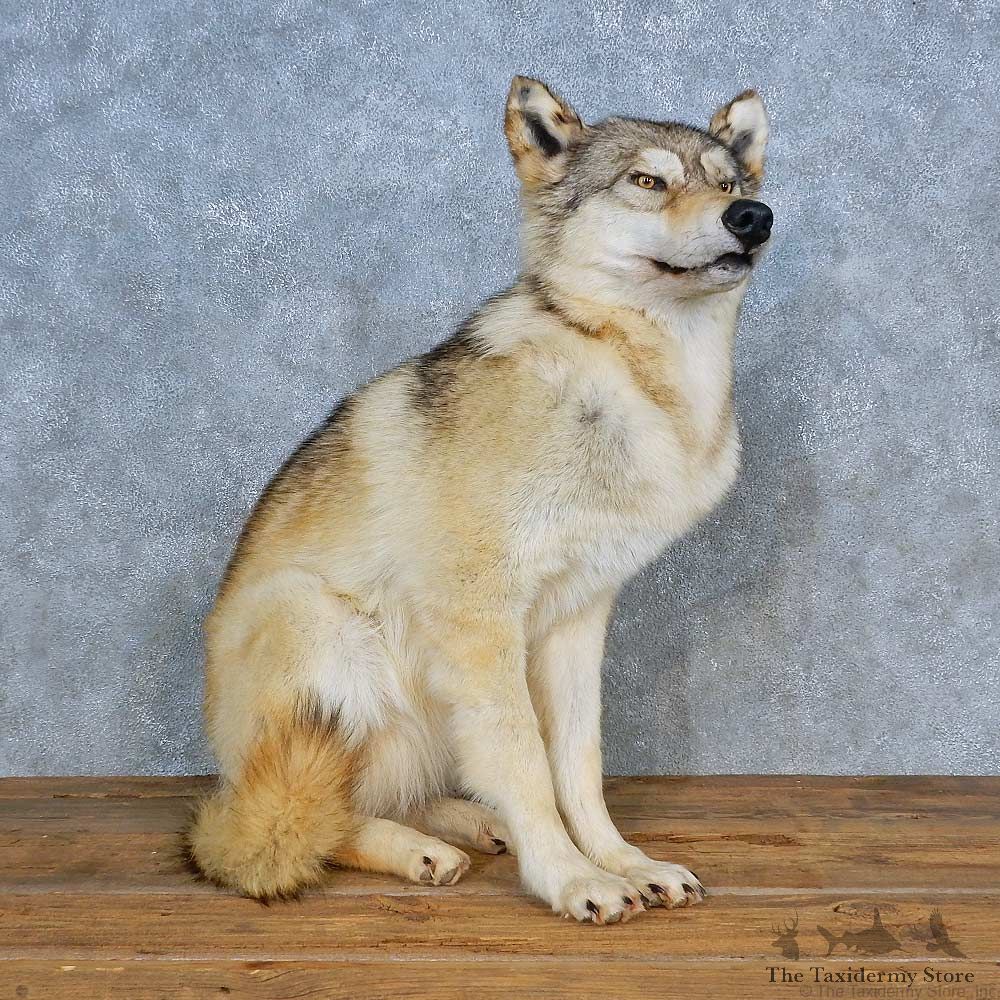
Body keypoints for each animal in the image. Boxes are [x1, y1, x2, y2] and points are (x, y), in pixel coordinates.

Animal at [187, 76, 773, 924]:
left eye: (730, 183)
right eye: (648, 181)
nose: (754, 218)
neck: (633, 378)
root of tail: (227, 780)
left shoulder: (577, 618)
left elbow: (578, 762)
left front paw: (626, 862)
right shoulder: (480, 618)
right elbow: (524, 757)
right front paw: (571, 879)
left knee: (376, 795)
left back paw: (469, 822)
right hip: (321, 630)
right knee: (295, 826)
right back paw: (419, 850)